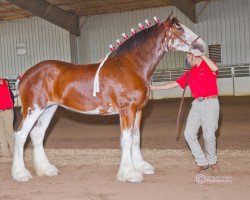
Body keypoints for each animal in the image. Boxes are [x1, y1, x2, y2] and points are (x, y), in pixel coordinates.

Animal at [12, 14, 205, 183]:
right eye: (179, 28)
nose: (202, 46)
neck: (130, 66)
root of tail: (26, 74)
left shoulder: (138, 111)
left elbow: (136, 138)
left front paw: (141, 167)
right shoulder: (127, 110)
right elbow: (126, 140)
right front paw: (130, 174)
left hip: (49, 109)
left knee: (37, 134)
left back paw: (46, 169)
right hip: (33, 109)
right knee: (21, 135)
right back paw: (20, 174)